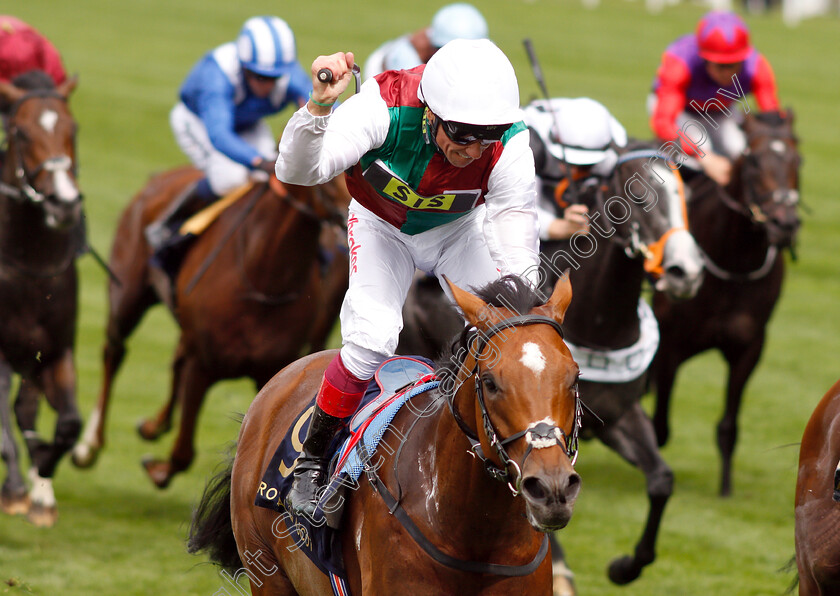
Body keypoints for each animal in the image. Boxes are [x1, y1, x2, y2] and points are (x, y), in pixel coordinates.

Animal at [69, 164, 352, 488]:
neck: (263, 280)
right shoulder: (202, 364)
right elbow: (183, 452)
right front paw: (158, 469)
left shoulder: (271, 375)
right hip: (127, 296)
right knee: (114, 353)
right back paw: (89, 446)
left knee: (174, 360)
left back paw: (153, 426)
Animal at [648, 108, 800, 498]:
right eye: (754, 161)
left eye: (798, 159)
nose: (785, 224)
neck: (734, 260)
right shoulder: (670, 345)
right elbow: (660, 427)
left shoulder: (749, 347)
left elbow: (729, 427)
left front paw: (726, 490)